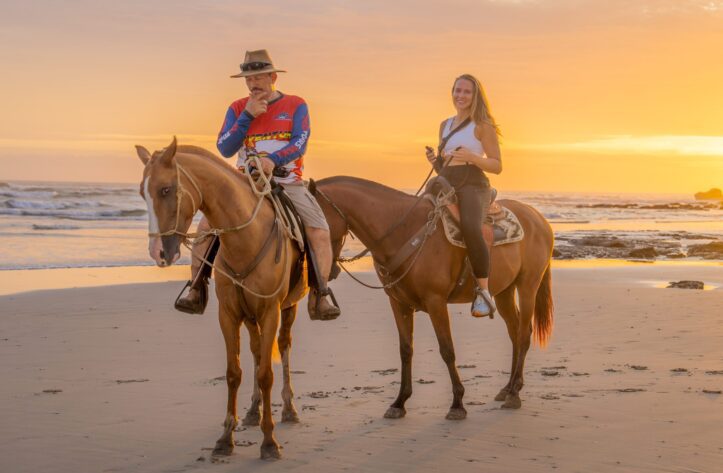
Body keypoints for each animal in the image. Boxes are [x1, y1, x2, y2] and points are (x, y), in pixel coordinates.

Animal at [136, 137, 306, 458]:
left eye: (166, 189)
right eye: (143, 192)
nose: (158, 252)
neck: (245, 239)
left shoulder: (270, 310)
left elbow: (266, 374)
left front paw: (269, 441)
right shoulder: (228, 313)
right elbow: (233, 372)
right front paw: (226, 437)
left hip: (288, 308)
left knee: (284, 347)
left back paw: (289, 408)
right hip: (249, 316)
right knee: (256, 351)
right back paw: (252, 412)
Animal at [312, 175, 556, 414]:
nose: (320, 272)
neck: (404, 231)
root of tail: (539, 218)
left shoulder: (436, 301)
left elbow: (447, 350)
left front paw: (457, 403)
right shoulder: (398, 303)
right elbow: (406, 350)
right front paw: (399, 402)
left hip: (528, 285)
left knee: (524, 334)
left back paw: (514, 393)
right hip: (504, 291)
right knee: (514, 333)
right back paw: (507, 388)